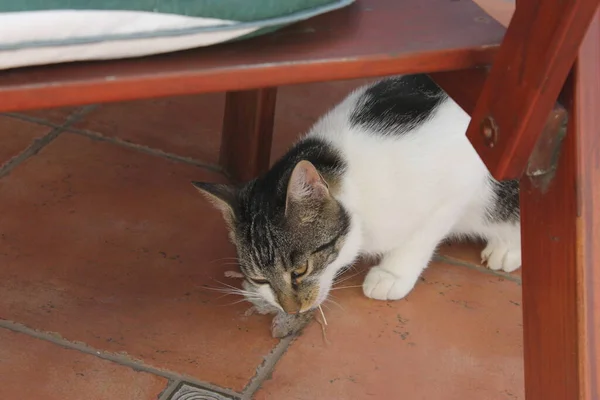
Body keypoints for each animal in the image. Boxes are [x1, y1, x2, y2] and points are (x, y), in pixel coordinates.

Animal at [193, 73, 520, 336]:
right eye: (260, 277)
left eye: (301, 270)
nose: (292, 310)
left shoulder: (461, 180)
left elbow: (421, 236)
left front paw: (392, 273)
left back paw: (507, 247)